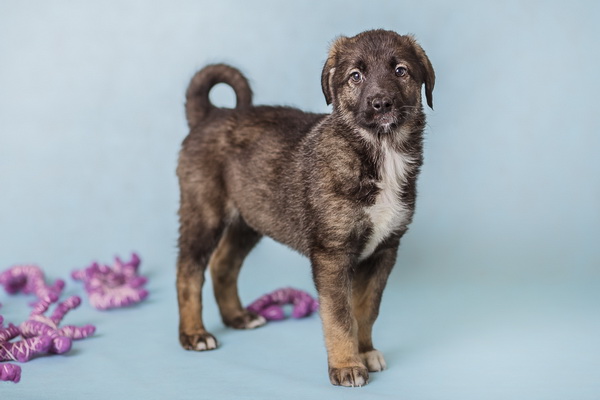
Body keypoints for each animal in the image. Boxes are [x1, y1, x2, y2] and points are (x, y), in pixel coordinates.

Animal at [176, 29, 435, 387]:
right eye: (356, 76)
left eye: (401, 71)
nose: (381, 103)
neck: (379, 151)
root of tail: (211, 114)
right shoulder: (332, 255)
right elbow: (340, 316)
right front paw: (347, 366)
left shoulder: (385, 250)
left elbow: (366, 310)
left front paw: (365, 351)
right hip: (205, 212)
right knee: (188, 270)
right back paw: (194, 334)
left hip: (252, 216)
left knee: (223, 263)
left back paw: (237, 317)